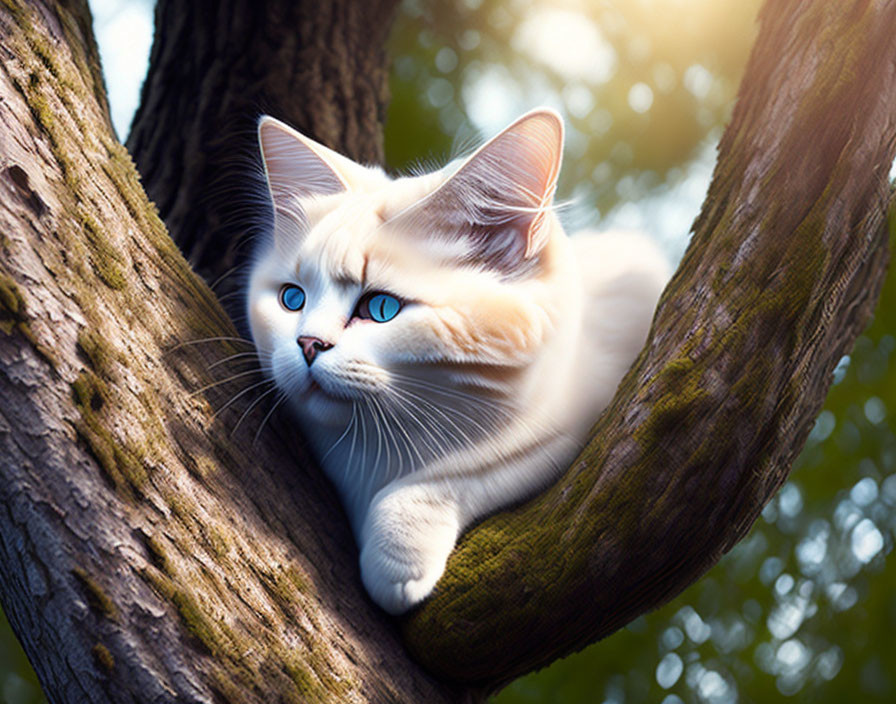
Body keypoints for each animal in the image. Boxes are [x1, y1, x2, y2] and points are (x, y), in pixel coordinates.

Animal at [248, 107, 668, 612]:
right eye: (293, 300)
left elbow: (459, 474)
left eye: (381, 308)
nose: (308, 344)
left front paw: (396, 562)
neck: (374, 454)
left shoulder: (586, 415)